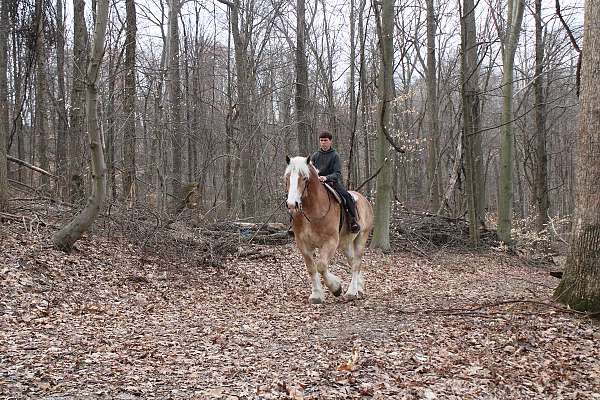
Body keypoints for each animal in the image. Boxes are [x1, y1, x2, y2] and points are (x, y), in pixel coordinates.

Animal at [284, 155, 372, 304]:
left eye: (304, 178)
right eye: (287, 177)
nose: (292, 204)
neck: (313, 210)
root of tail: (365, 200)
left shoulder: (330, 242)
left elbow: (321, 265)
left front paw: (336, 287)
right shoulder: (303, 244)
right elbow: (311, 268)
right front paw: (316, 295)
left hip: (361, 238)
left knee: (356, 263)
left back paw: (351, 292)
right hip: (346, 243)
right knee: (352, 261)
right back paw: (359, 288)